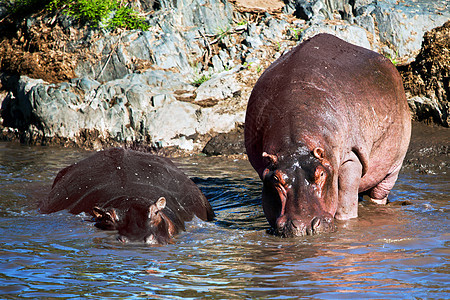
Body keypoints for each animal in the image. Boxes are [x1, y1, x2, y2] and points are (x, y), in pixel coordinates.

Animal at [246, 34, 412, 237]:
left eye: (321, 174)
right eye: (276, 179)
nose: (304, 225)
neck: (296, 145)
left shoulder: (351, 157)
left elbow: (346, 201)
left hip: (394, 167)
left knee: (378, 193)